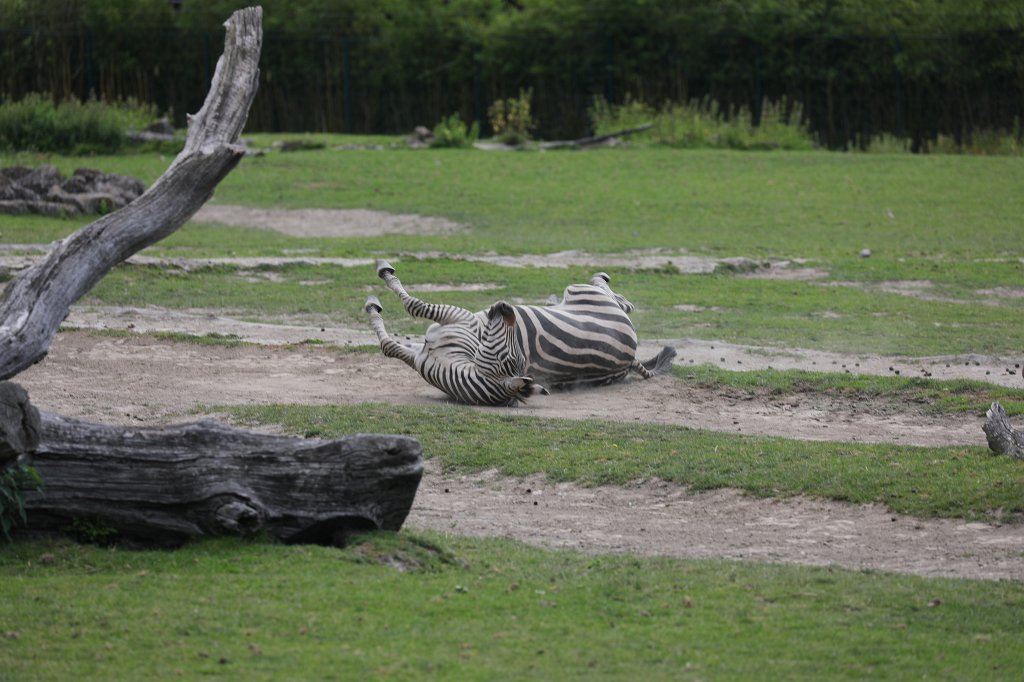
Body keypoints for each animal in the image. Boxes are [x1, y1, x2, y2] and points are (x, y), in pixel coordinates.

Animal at [364, 259, 676, 406]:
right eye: (513, 358)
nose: (505, 305)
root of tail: (630, 358)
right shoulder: (419, 354)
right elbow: (389, 346)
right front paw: (374, 306)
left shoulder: (457, 317)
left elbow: (412, 304)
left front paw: (383, 274)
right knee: (615, 298)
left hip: (580, 291)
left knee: (606, 289)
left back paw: (603, 281)